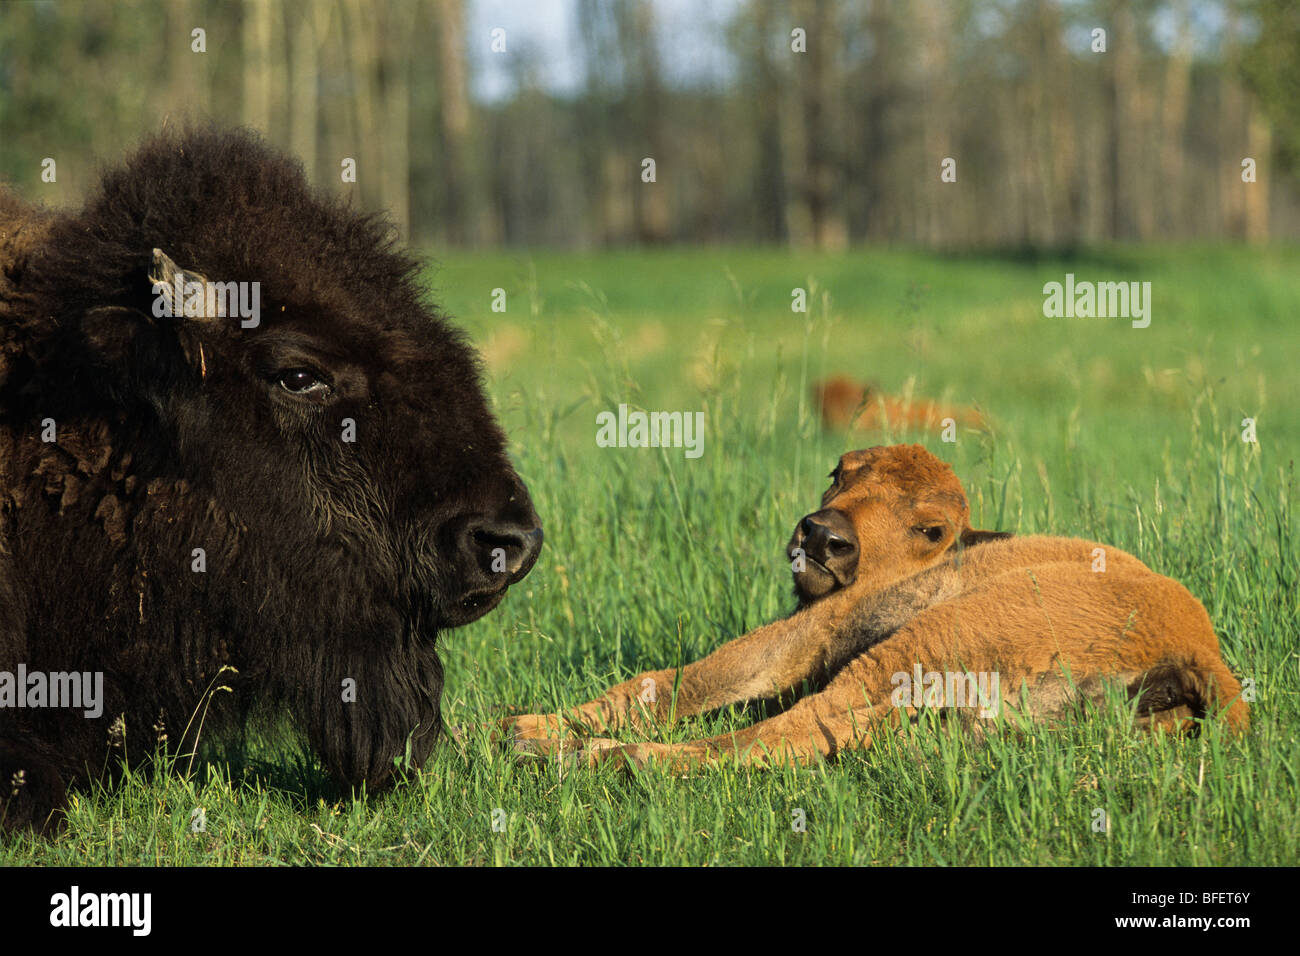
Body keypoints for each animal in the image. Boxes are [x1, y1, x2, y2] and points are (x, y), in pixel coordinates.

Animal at [501, 447, 1242, 770]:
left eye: (930, 527)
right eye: (840, 472)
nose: (821, 535)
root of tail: (1197, 647)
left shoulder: (797, 639)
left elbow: (668, 683)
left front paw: (523, 725)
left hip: (918, 645)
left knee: (788, 730)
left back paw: (583, 754)